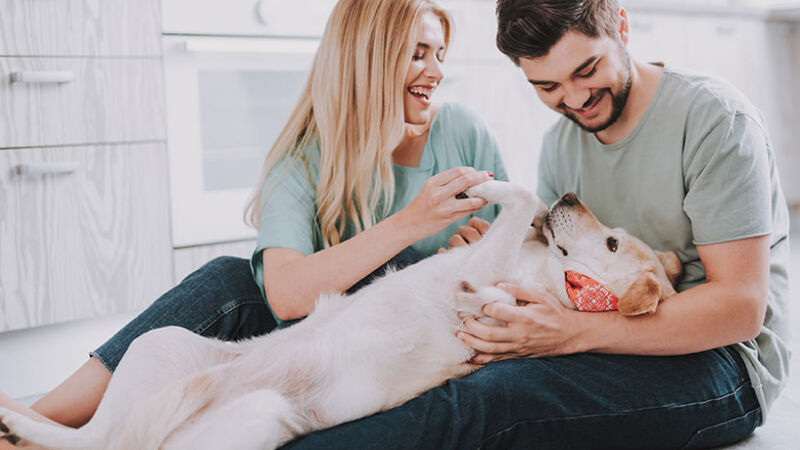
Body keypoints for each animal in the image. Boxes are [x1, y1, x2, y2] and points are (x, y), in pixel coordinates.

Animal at [0, 181, 680, 450]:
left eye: (612, 242)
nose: (571, 194)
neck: (535, 271)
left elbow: (515, 212)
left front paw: (483, 289)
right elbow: (516, 206)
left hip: (254, 416)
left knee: (105, 445)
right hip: (162, 345)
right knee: (90, 437)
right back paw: (18, 421)